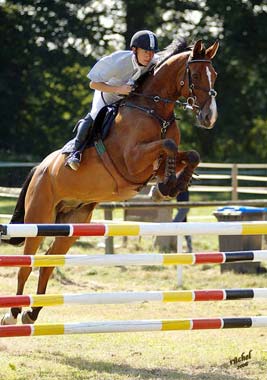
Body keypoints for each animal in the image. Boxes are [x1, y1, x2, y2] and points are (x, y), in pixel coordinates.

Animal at [1, 38, 219, 326]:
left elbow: (189, 154)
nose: (209, 117)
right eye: (194, 75)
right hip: (39, 217)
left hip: (73, 223)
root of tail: (40, 168)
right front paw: (166, 187)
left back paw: (32, 312)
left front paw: (167, 187)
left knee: (48, 261)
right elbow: (168, 145)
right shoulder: (132, 161)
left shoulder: (152, 164)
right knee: (27, 262)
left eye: (214, 75)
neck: (155, 110)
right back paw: (13, 313)